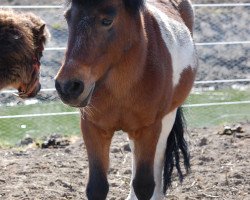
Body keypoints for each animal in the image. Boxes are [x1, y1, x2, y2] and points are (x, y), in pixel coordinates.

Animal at [55, 0, 197, 199]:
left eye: (107, 20)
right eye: (68, 17)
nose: (68, 86)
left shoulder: (149, 128)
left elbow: (144, 185)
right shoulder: (92, 127)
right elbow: (97, 187)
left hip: (168, 116)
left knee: (159, 155)